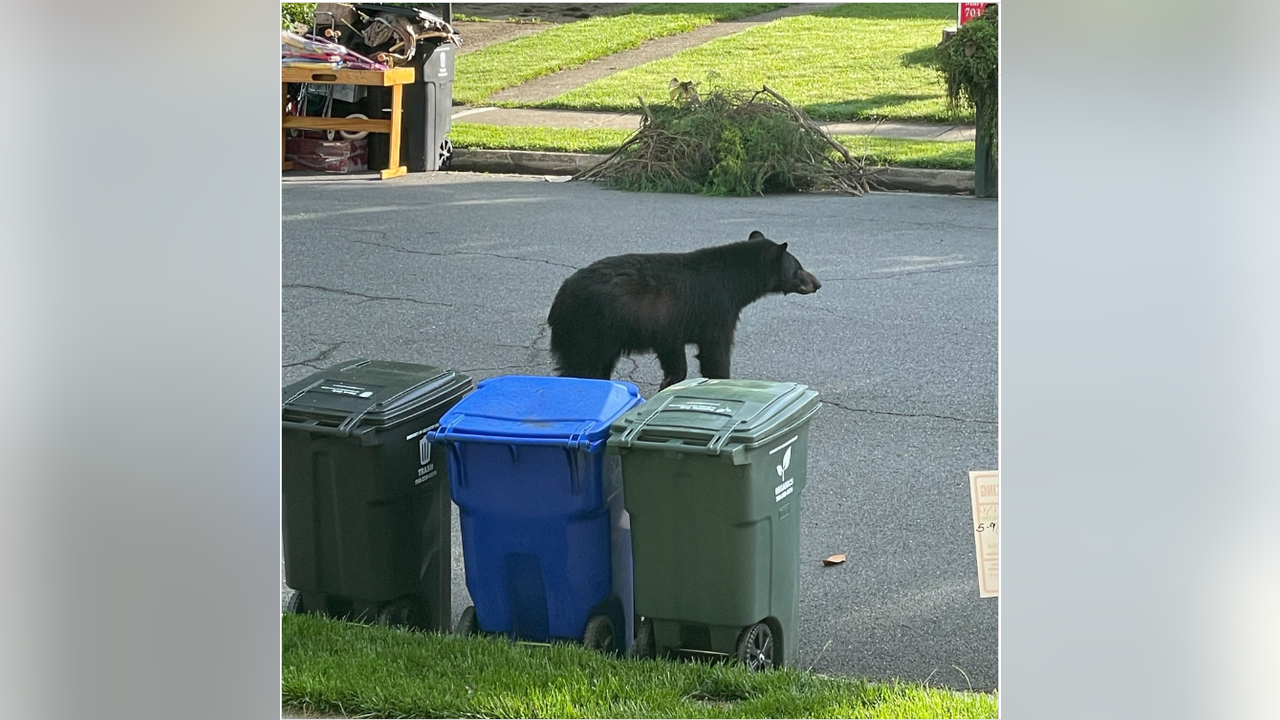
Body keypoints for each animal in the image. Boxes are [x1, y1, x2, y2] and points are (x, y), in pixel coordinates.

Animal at [545, 229, 824, 386]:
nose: (818, 283)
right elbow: (715, 351)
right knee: (581, 366)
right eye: (798, 267)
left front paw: (669, 384)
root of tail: (560, 299)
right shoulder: (717, 309)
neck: (733, 280)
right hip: (590, 329)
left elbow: (675, 360)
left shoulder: (669, 327)